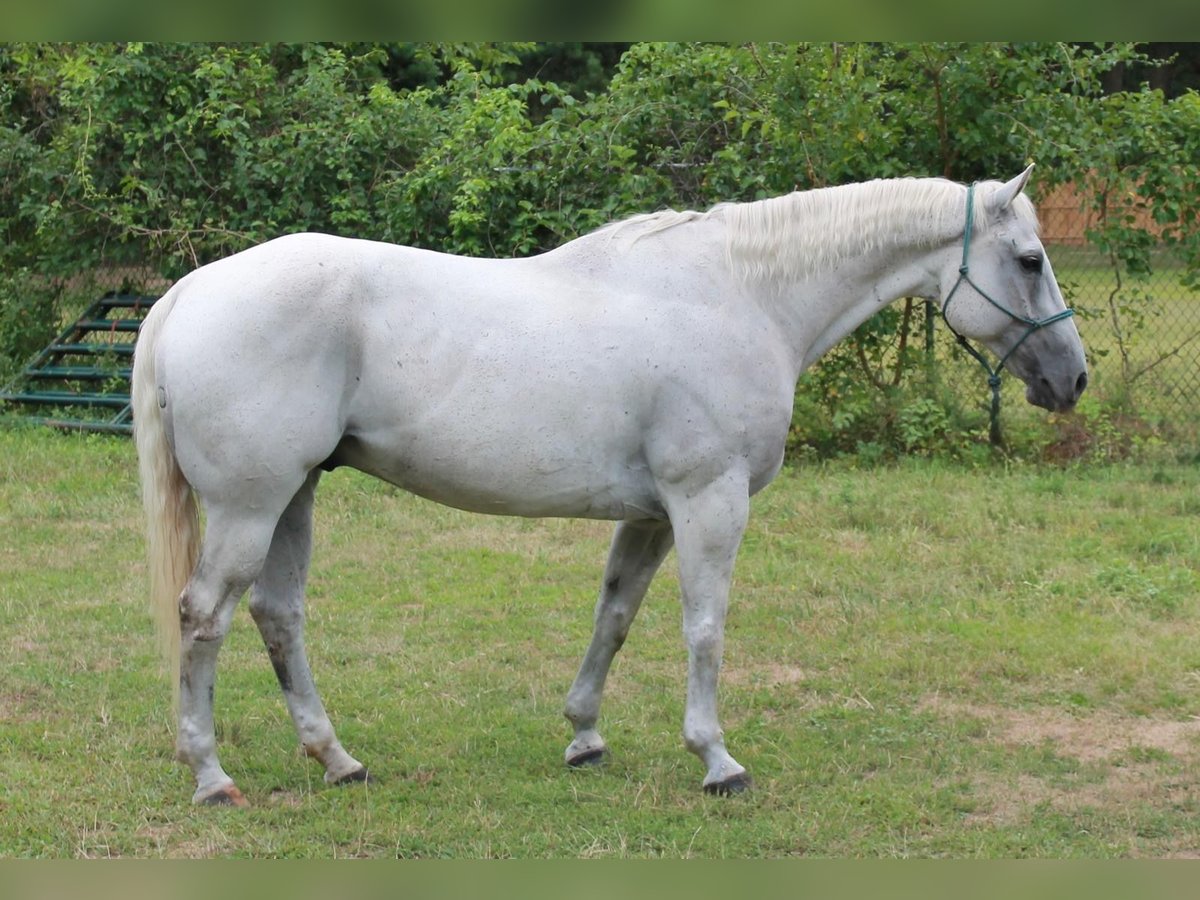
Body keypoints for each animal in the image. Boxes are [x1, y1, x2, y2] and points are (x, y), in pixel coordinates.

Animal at [133, 165, 1087, 805]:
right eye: (1029, 259)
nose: (1072, 379)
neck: (742, 296)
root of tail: (186, 293)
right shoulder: (708, 501)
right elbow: (705, 629)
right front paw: (717, 760)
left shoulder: (654, 515)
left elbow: (616, 616)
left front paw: (585, 737)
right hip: (251, 507)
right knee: (204, 617)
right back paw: (210, 774)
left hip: (292, 498)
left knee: (277, 617)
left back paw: (337, 760)